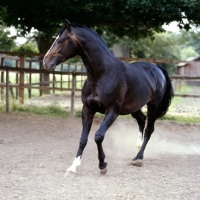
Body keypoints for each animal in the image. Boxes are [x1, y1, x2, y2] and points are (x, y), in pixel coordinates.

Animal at [43, 19, 173, 175]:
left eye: (61, 40)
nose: (45, 62)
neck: (102, 74)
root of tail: (157, 69)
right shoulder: (87, 109)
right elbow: (83, 138)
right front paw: (73, 166)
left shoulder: (112, 111)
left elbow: (98, 136)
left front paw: (102, 165)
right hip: (134, 106)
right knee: (142, 120)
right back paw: (136, 148)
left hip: (153, 106)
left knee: (149, 129)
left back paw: (138, 158)